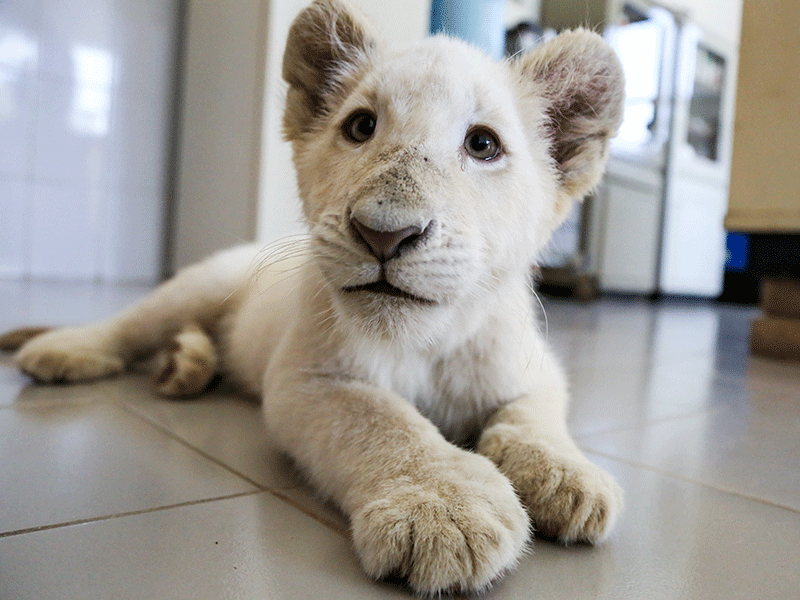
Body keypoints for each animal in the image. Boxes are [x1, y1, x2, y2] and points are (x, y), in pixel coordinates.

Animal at [1, 0, 625, 594]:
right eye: (360, 126)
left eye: (483, 144)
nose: (384, 234)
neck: (427, 342)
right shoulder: (307, 380)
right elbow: (385, 421)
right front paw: (445, 509)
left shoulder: (538, 370)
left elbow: (532, 417)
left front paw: (569, 478)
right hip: (197, 286)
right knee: (132, 325)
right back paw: (68, 351)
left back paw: (187, 365)